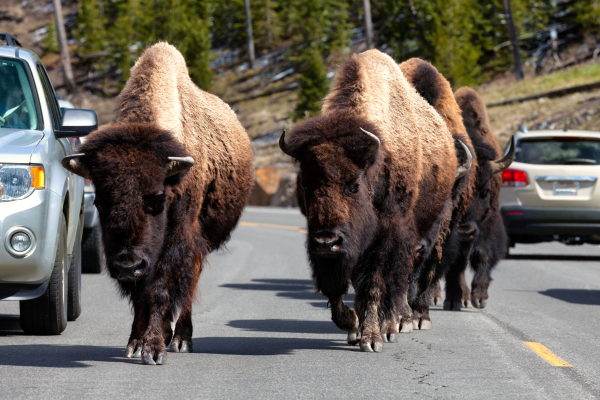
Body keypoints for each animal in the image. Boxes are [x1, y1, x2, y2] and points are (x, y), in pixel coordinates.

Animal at [58, 42, 251, 364]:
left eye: (158, 198)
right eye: (99, 200)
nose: (127, 264)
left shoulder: (176, 237)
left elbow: (160, 289)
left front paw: (154, 349)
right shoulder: (142, 262)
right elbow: (141, 296)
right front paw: (136, 343)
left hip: (198, 242)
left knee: (189, 281)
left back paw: (182, 339)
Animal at [278, 50, 472, 354]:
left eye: (354, 185)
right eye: (306, 184)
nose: (326, 241)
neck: (376, 163)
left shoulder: (387, 237)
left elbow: (375, 285)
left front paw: (372, 338)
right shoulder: (341, 248)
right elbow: (337, 286)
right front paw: (352, 324)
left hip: (428, 235)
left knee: (409, 278)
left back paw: (399, 324)